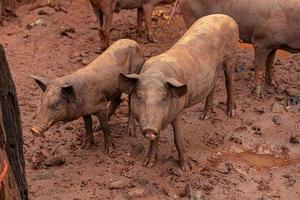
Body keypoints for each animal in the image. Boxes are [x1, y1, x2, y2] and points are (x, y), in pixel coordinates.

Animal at [119, 13, 239, 170]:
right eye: (139, 96)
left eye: (164, 98)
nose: (149, 129)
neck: (156, 74)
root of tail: (228, 17)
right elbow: (154, 140)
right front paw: (148, 164)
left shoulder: (177, 111)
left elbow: (178, 138)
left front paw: (186, 168)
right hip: (213, 70)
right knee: (212, 87)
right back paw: (204, 117)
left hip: (231, 55)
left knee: (229, 81)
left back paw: (231, 114)